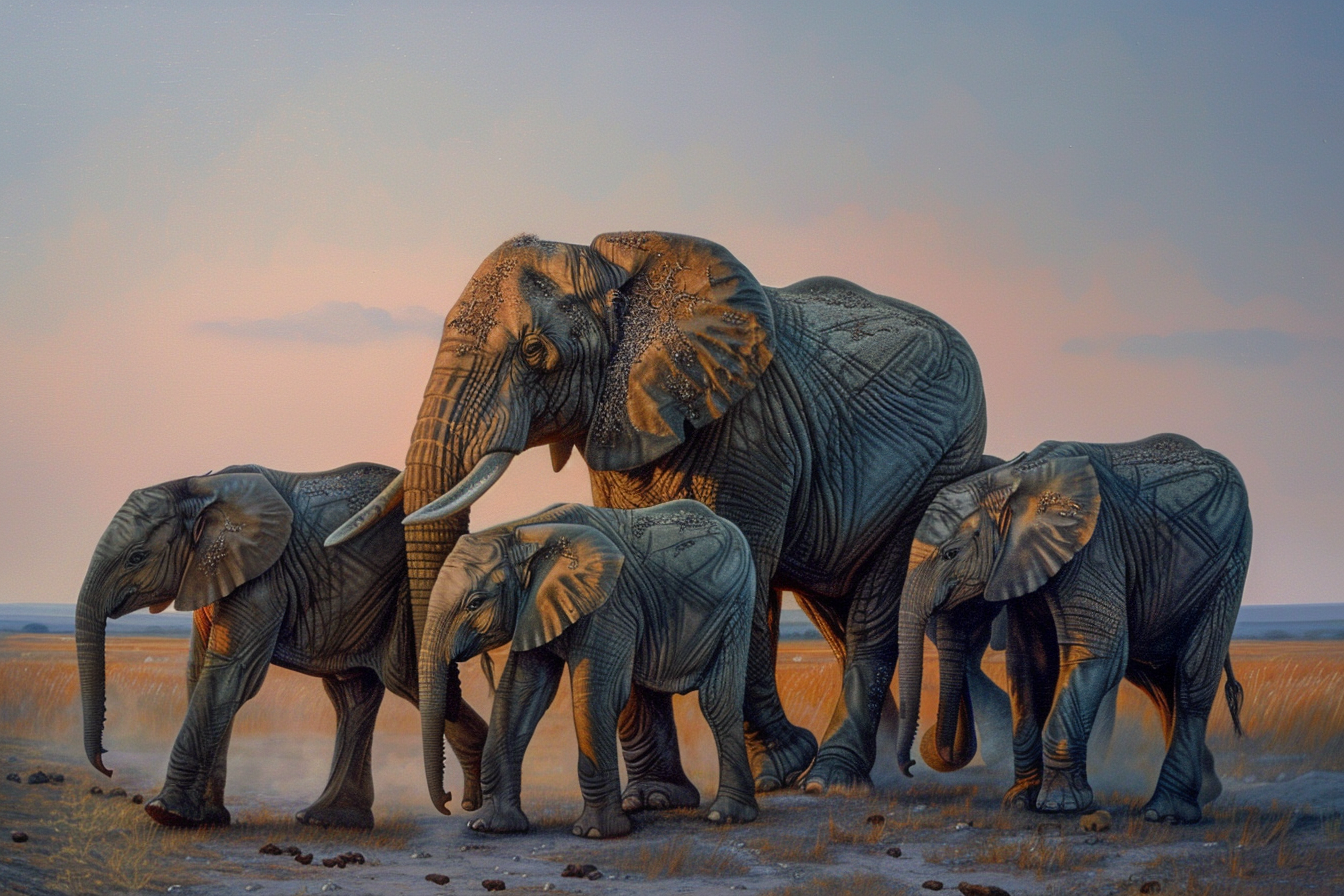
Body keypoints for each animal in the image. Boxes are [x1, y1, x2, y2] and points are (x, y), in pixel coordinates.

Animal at [75, 462, 486, 828]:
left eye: (137, 557)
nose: (107, 766)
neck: (200, 489)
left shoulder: (265, 575)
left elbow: (231, 671)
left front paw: (167, 814)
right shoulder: (212, 571)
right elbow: (199, 671)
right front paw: (206, 818)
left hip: (408, 590)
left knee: (406, 679)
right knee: (354, 693)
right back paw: (332, 820)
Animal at [328, 229, 993, 797]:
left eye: (537, 352)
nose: (453, 801)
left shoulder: (752, 428)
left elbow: (747, 562)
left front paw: (778, 768)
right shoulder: (618, 416)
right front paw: (656, 798)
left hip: (942, 467)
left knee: (874, 608)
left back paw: (829, 778)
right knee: (833, 605)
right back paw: (858, 770)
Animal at [419, 500, 758, 839]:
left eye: (475, 603)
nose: (452, 801)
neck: (522, 531)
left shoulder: (610, 603)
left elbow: (597, 697)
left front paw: (597, 833)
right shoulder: (535, 608)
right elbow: (518, 696)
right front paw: (489, 826)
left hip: (737, 601)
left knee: (717, 700)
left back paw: (725, 815)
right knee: (651, 695)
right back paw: (656, 801)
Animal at [893, 434, 1251, 824]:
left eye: (950, 554)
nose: (910, 766)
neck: (1014, 480)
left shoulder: (1094, 547)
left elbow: (1097, 652)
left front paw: (1059, 805)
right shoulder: (1024, 563)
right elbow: (1028, 665)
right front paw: (1019, 801)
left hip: (1231, 560)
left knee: (1190, 676)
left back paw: (1167, 813)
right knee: (1157, 678)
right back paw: (1205, 793)